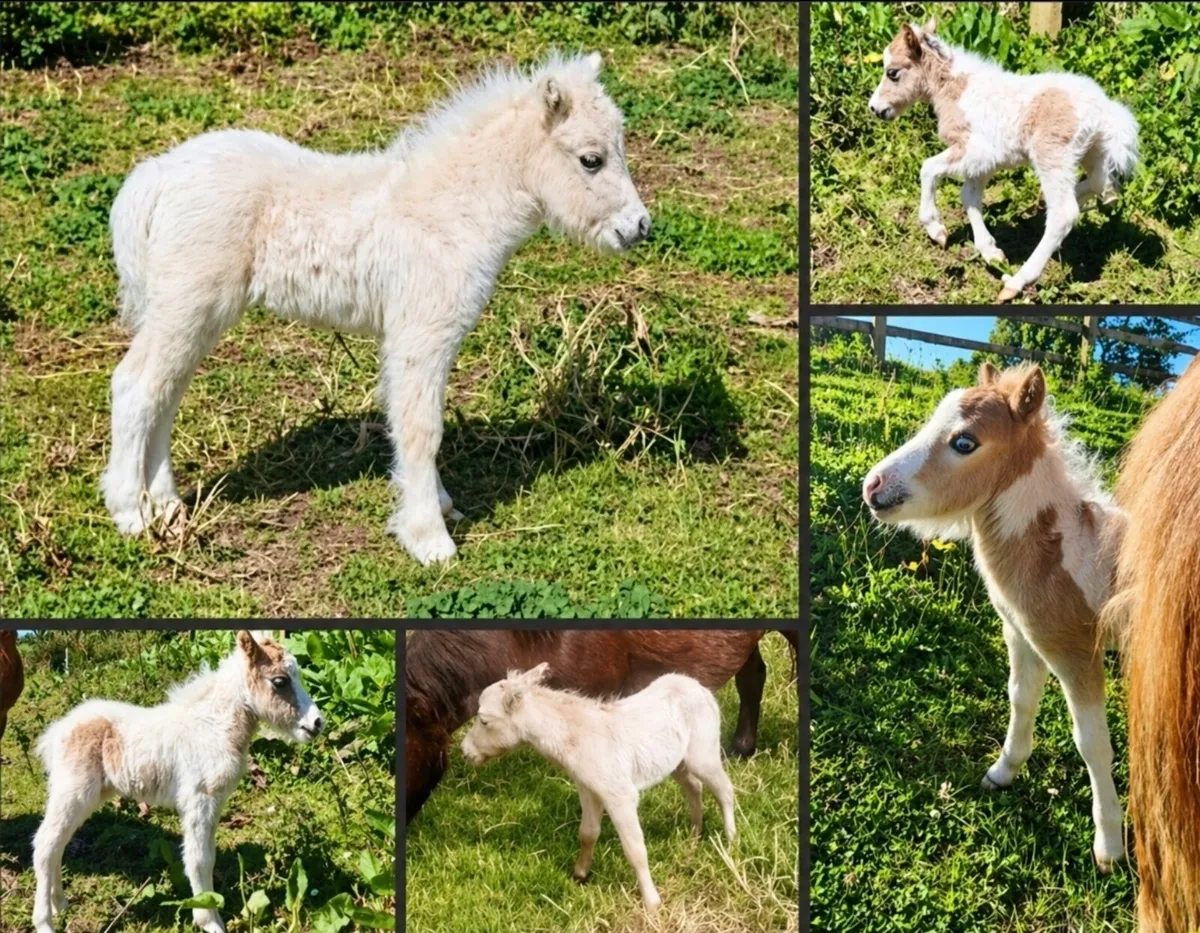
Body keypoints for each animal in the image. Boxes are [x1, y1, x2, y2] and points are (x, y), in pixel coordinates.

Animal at [31, 631, 323, 933]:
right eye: (280, 681)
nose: (317, 723)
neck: (215, 726)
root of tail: (55, 733)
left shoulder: (214, 803)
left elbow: (209, 855)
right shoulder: (198, 800)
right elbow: (198, 860)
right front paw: (209, 921)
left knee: (58, 845)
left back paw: (60, 904)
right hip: (73, 791)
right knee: (45, 845)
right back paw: (44, 921)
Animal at [102, 51, 650, 565]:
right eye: (591, 160)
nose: (640, 227)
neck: (451, 211)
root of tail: (157, 174)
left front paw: (439, 506)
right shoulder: (422, 332)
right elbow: (421, 426)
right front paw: (429, 539)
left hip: (193, 310)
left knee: (166, 393)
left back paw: (166, 505)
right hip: (187, 301)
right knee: (137, 387)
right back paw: (131, 512)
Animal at [462, 664, 736, 911]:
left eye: (484, 721)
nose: (466, 752)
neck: (575, 737)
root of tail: (699, 688)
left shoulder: (620, 794)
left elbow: (635, 848)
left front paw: (652, 903)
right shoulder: (588, 788)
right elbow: (588, 833)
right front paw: (580, 874)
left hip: (703, 749)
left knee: (724, 789)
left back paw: (730, 839)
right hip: (677, 761)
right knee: (694, 785)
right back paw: (694, 834)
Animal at [862, 361, 1124, 870]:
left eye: (965, 442)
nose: (873, 487)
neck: (1057, 556)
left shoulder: (1077, 649)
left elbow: (1091, 743)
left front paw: (1110, 846)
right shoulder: (1023, 634)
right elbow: (1020, 698)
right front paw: (1003, 771)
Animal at [868, 18, 1138, 302]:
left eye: (892, 72)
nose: (875, 108)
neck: (958, 89)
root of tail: (1106, 113)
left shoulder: (975, 150)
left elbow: (928, 168)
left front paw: (936, 229)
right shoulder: (985, 161)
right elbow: (969, 196)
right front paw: (990, 252)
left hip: (1053, 158)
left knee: (1064, 213)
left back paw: (1015, 282)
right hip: (1095, 155)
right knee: (1105, 188)